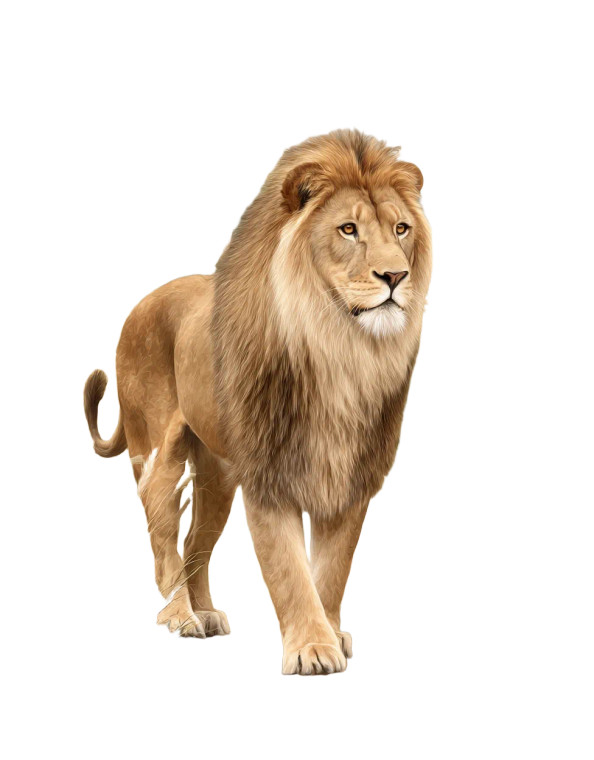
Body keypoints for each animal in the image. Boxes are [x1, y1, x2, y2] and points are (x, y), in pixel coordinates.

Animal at [84, 129, 432, 675]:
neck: (340, 351)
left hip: (217, 473)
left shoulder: (351, 475)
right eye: (348, 229)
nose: (395, 277)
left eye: (401, 228)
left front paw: (331, 634)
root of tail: (142, 302)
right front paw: (312, 649)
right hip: (157, 451)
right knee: (163, 539)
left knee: (194, 543)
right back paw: (181, 617)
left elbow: (332, 569)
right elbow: (287, 568)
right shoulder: (268, 473)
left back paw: (205, 614)